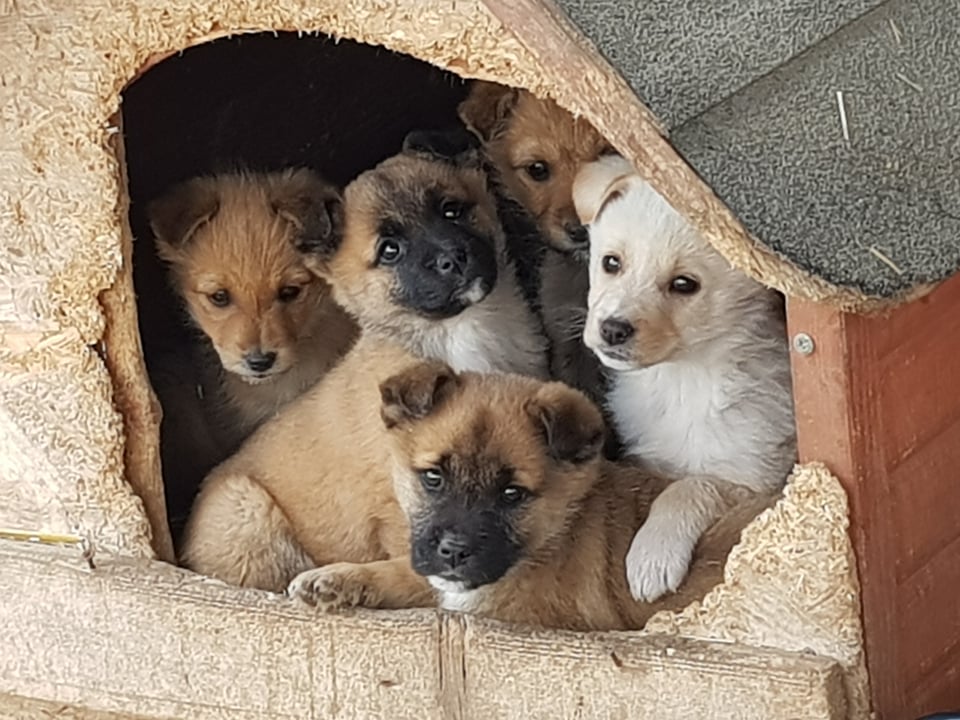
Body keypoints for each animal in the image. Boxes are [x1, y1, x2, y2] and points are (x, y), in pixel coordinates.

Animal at [280, 360, 772, 632]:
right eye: (433, 477)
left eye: (512, 494)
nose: (453, 551)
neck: (555, 534)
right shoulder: (448, 582)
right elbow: (409, 573)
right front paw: (337, 579)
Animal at [568, 156, 796, 600]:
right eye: (611, 263)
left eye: (684, 284)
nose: (612, 330)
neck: (681, 379)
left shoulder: (753, 480)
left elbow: (687, 488)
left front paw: (651, 557)